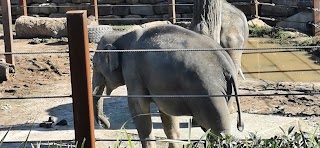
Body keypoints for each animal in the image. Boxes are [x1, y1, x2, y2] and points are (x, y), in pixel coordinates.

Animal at [92, 24, 242, 147]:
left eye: (94, 65)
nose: (105, 124)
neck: (121, 35)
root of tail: (227, 66)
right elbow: (167, 114)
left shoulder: (132, 70)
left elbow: (139, 108)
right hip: (225, 94)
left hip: (209, 94)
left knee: (218, 130)